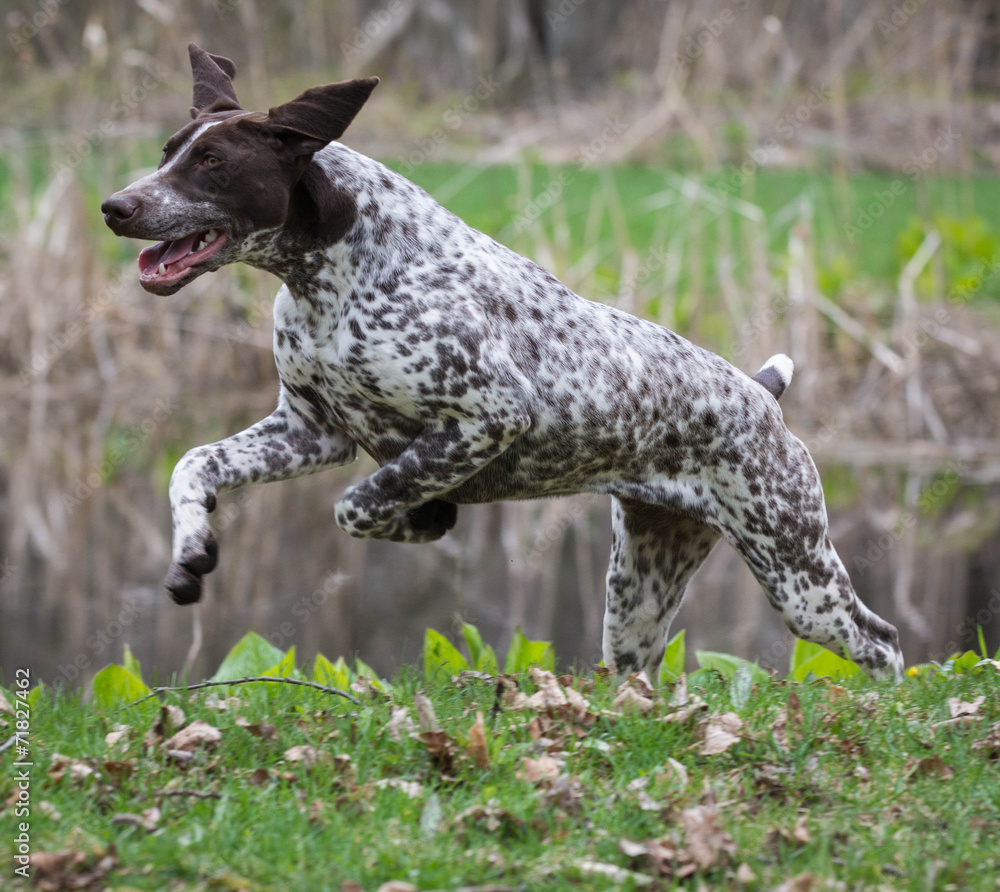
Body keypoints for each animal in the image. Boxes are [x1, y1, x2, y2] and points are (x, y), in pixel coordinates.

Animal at [103, 43, 908, 684]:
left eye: (213, 162)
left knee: (884, 643)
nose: (115, 206)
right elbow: (193, 465)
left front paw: (426, 515)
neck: (332, 271)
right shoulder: (309, 431)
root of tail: (761, 393)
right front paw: (192, 547)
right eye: (168, 151)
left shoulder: (485, 418)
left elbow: (360, 504)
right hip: (640, 595)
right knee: (642, 673)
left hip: (797, 574)